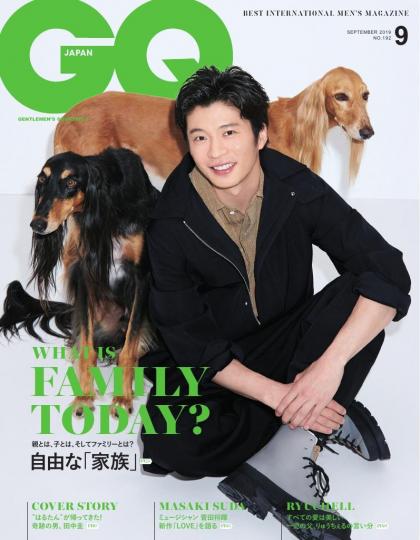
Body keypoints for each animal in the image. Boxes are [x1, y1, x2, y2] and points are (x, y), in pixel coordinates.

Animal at [0, 148, 159, 416]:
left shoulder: (141, 275)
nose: (37, 224)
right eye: (42, 180)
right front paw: (84, 396)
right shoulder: (84, 273)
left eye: (71, 182)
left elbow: (130, 347)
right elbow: (86, 346)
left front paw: (122, 398)